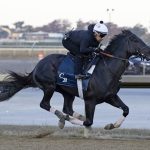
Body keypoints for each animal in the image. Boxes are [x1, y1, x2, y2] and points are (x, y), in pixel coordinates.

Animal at [0, 29, 150, 129]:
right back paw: (62, 118)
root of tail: (37, 66)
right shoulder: (90, 100)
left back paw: (67, 117)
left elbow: (126, 109)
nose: (148, 51)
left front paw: (112, 125)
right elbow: (89, 122)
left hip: (68, 92)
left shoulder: (110, 96)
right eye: (135, 40)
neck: (107, 70)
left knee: (67, 108)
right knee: (45, 104)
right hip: (49, 87)